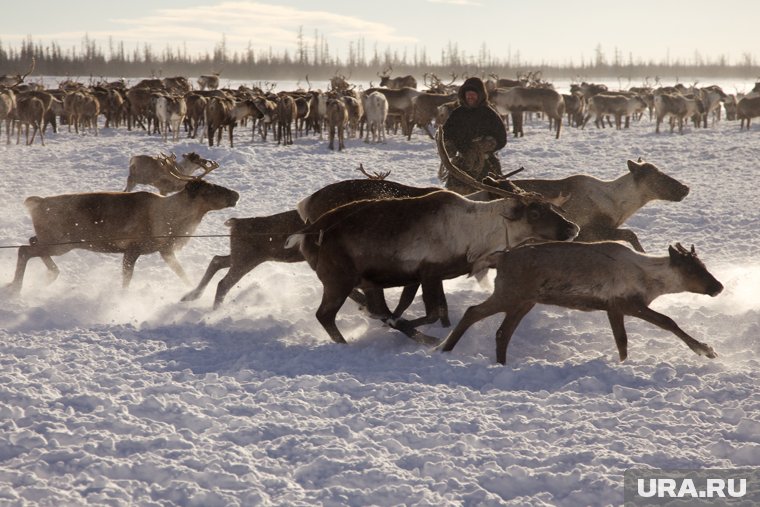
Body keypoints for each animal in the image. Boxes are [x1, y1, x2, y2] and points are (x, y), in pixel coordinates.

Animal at [436, 243, 720, 366]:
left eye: (704, 265)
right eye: (691, 269)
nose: (718, 287)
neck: (652, 281)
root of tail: (501, 258)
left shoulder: (613, 308)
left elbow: (622, 341)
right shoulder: (627, 304)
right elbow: (667, 321)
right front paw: (705, 349)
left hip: (524, 301)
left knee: (501, 332)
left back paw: (500, 363)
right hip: (510, 294)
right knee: (473, 312)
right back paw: (445, 349)